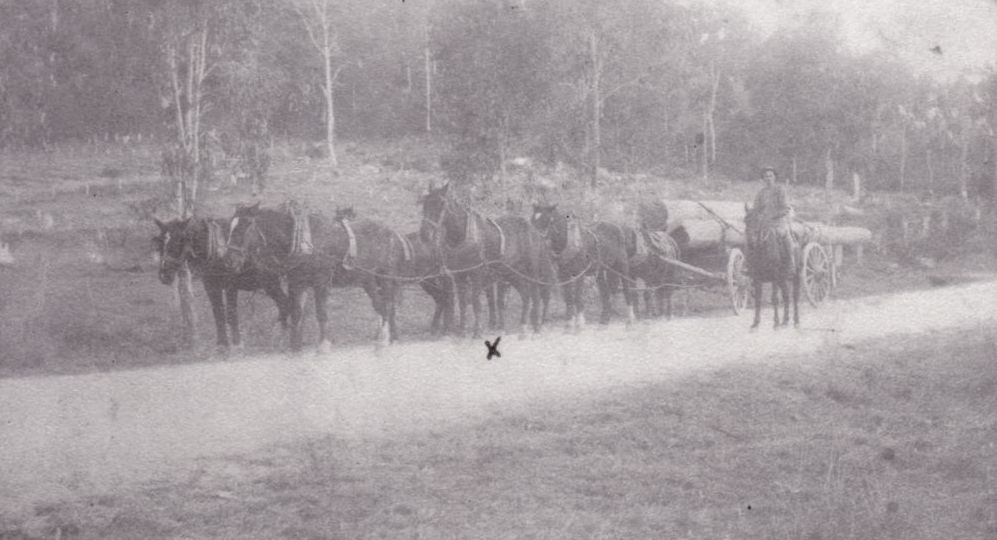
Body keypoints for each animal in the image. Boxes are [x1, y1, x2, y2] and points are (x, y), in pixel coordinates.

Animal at [153, 216, 289, 349]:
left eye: (178, 240)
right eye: (160, 242)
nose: (164, 275)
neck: (216, 252)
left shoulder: (231, 286)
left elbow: (231, 313)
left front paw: (237, 343)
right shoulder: (211, 287)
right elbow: (218, 314)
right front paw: (222, 344)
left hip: (270, 283)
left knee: (284, 303)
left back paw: (279, 335)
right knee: (284, 302)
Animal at [224, 202, 407, 352]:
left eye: (247, 224)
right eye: (230, 226)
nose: (230, 259)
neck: (302, 241)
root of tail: (394, 233)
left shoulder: (321, 282)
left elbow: (320, 312)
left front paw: (323, 345)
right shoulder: (297, 282)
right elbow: (296, 312)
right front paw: (295, 346)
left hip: (385, 277)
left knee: (388, 306)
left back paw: (387, 339)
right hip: (368, 280)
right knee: (381, 305)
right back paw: (386, 338)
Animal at [420, 182, 549, 338]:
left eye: (441, 203)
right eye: (424, 203)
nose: (424, 234)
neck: (462, 236)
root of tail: (534, 231)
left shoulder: (477, 274)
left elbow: (476, 302)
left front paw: (477, 331)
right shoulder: (459, 275)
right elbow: (462, 303)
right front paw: (462, 331)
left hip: (531, 271)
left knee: (535, 294)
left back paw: (536, 326)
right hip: (512, 273)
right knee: (526, 295)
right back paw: (523, 326)